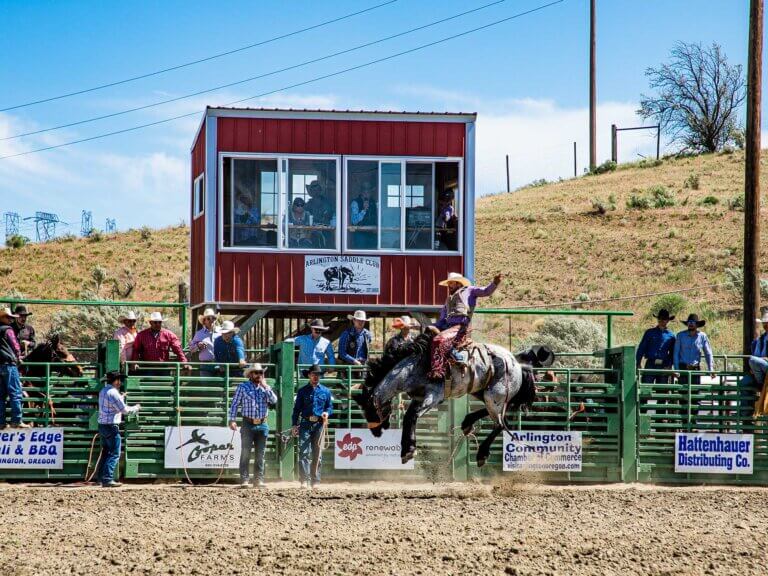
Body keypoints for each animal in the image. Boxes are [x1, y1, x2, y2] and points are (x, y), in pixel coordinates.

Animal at [354, 332, 552, 468]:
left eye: (369, 409)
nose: (375, 432)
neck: (414, 367)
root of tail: (518, 365)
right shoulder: (418, 398)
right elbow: (411, 417)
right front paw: (408, 448)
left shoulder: (433, 397)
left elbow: (410, 416)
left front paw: (407, 451)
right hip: (483, 392)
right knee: (501, 416)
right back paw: (467, 423)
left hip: (494, 395)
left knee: (500, 424)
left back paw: (481, 454)